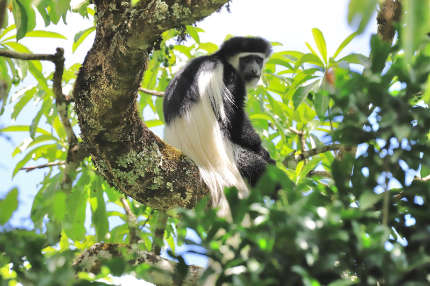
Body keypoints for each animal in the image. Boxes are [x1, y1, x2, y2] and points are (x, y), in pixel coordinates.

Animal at [163, 36, 274, 217]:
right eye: (246, 59)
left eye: (258, 59)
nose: (255, 70)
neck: (221, 58)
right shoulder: (230, 76)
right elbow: (234, 119)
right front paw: (261, 149)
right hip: (227, 153)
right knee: (258, 168)